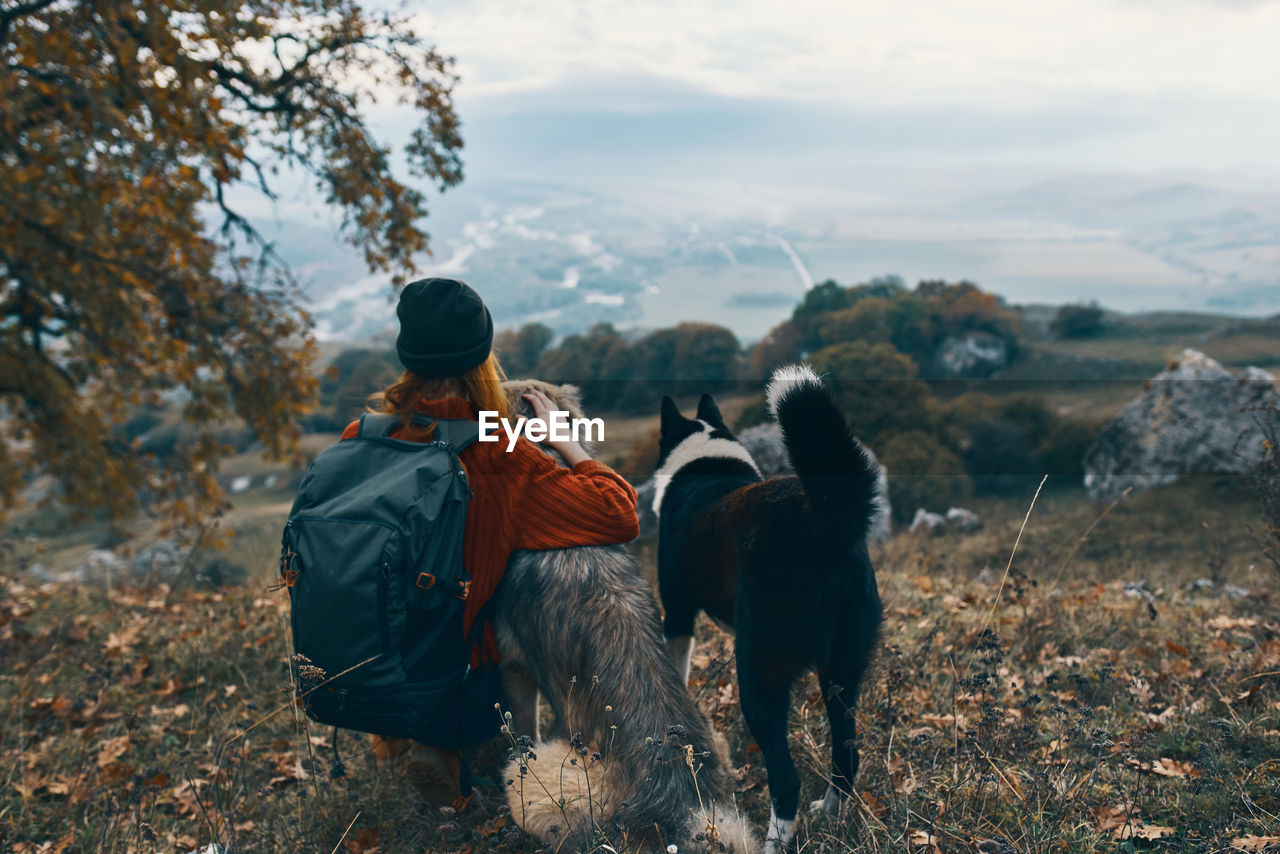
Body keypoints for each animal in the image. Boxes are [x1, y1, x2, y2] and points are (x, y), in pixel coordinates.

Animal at [655, 363, 885, 850]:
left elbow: (675, 669)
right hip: (842, 670)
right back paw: (832, 812)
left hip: (759, 673)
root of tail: (821, 523)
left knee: (786, 778)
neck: (704, 460)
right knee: (846, 753)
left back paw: (774, 839)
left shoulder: (678, 613)